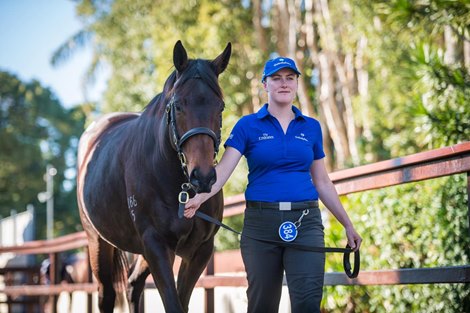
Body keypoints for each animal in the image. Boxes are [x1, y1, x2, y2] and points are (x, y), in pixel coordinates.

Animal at [77, 41, 231, 312]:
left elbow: (181, 301)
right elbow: (173, 303)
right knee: (107, 295)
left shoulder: (200, 250)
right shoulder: (157, 245)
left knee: (133, 285)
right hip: (97, 241)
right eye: (178, 105)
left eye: (220, 106)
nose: (202, 177)